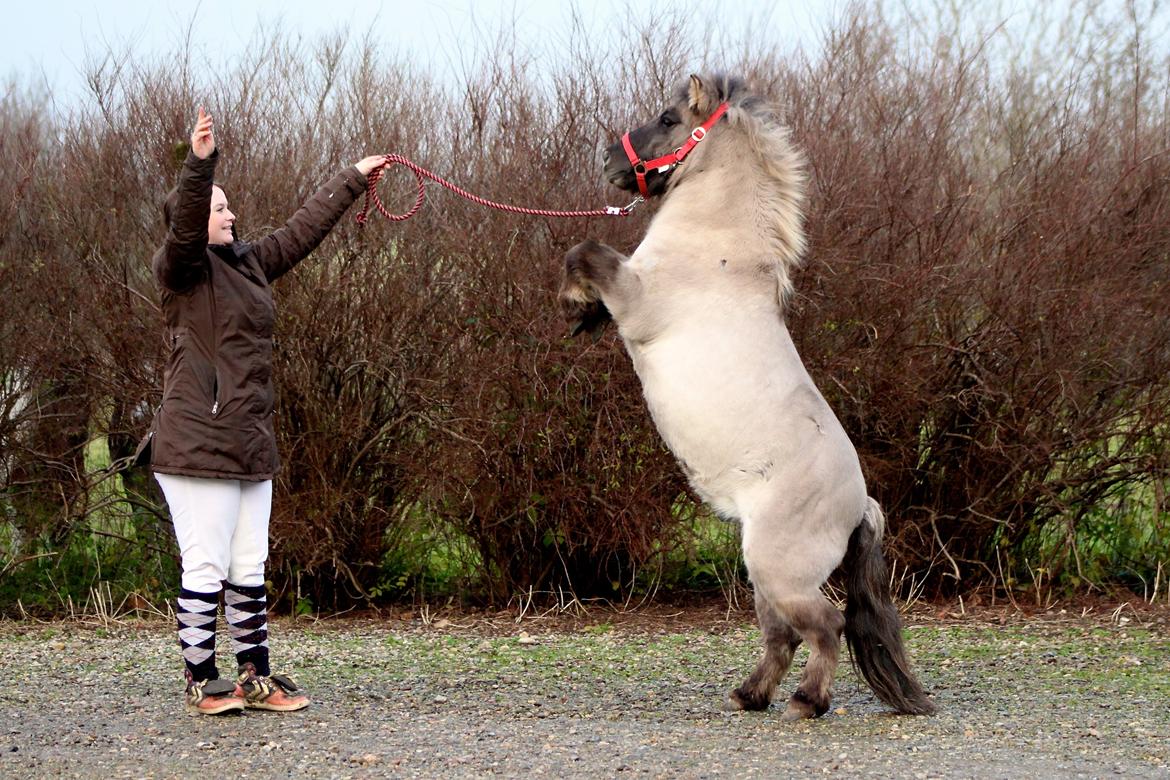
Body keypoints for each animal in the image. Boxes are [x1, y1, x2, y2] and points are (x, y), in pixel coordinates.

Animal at [561, 73, 935, 720]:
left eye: (667, 118)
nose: (609, 159)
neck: (719, 251)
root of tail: (861, 506)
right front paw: (583, 311)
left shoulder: (638, 302)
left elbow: (586, 251)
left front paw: (573, 302)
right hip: (762, 574)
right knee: (782, 635)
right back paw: (750, 695)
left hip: (779, 571)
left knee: (826, 625)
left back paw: (807, 702)